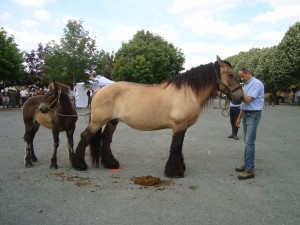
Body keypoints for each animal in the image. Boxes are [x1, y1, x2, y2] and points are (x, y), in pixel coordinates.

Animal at [72, 56, 244, 178]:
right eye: (230, 74)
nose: (241, 97)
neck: (187, 92)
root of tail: (99, 90)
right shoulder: (179, 126)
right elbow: (175, 147)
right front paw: (175, 172)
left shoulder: (182, 128)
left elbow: (179, 148)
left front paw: (180, 168)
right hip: (98, 121)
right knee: (85, 136)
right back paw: (79, 165)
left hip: (112, 121)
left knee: (106, 139)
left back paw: (111, 164)